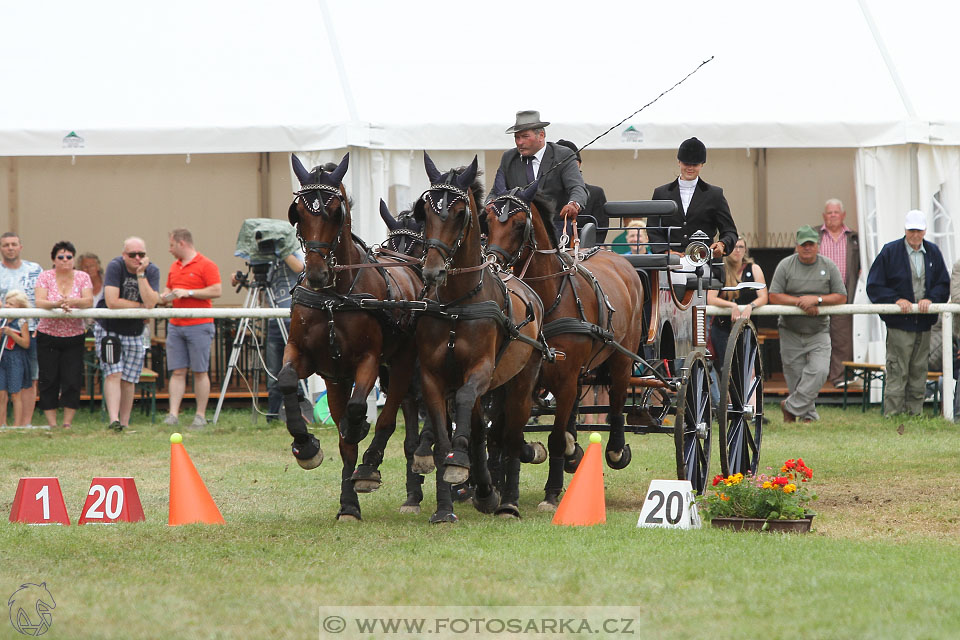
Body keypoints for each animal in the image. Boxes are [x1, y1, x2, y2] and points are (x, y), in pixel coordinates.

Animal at [280, 154, 426, 520]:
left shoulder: (369, 360)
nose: (317, 273)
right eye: (297, 212)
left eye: (337, 211)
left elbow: (360, 408)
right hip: (342, 378)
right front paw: (306, 446)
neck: (334, 297)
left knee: (389, 416)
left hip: (402, 363)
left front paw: (358, 432)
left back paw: (371, 465)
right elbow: (288, 381)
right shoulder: (313, 361)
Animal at [414, 155, 548, 520]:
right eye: (425, 211)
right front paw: (444, 508)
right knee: (481, 431)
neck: (456, 305)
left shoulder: (481, 370)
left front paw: (459, 464)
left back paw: (509, 502)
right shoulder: (431, 377)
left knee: (512, 435)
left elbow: (465, 407)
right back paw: (486, 492)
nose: (433, 272)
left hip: (521, 380)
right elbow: (446, 437)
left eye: (460, 213)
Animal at [484, 184, 640, 510]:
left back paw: (616, 450)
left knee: (618, 400)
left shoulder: (564, 378)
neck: (547, 299)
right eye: (488, 221)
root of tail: (619, 259)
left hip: (621, 357)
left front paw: (552, 492)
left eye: (519, 224)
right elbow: (506, 433)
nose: (492, 263)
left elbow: (552, 437)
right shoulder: (519, 378)